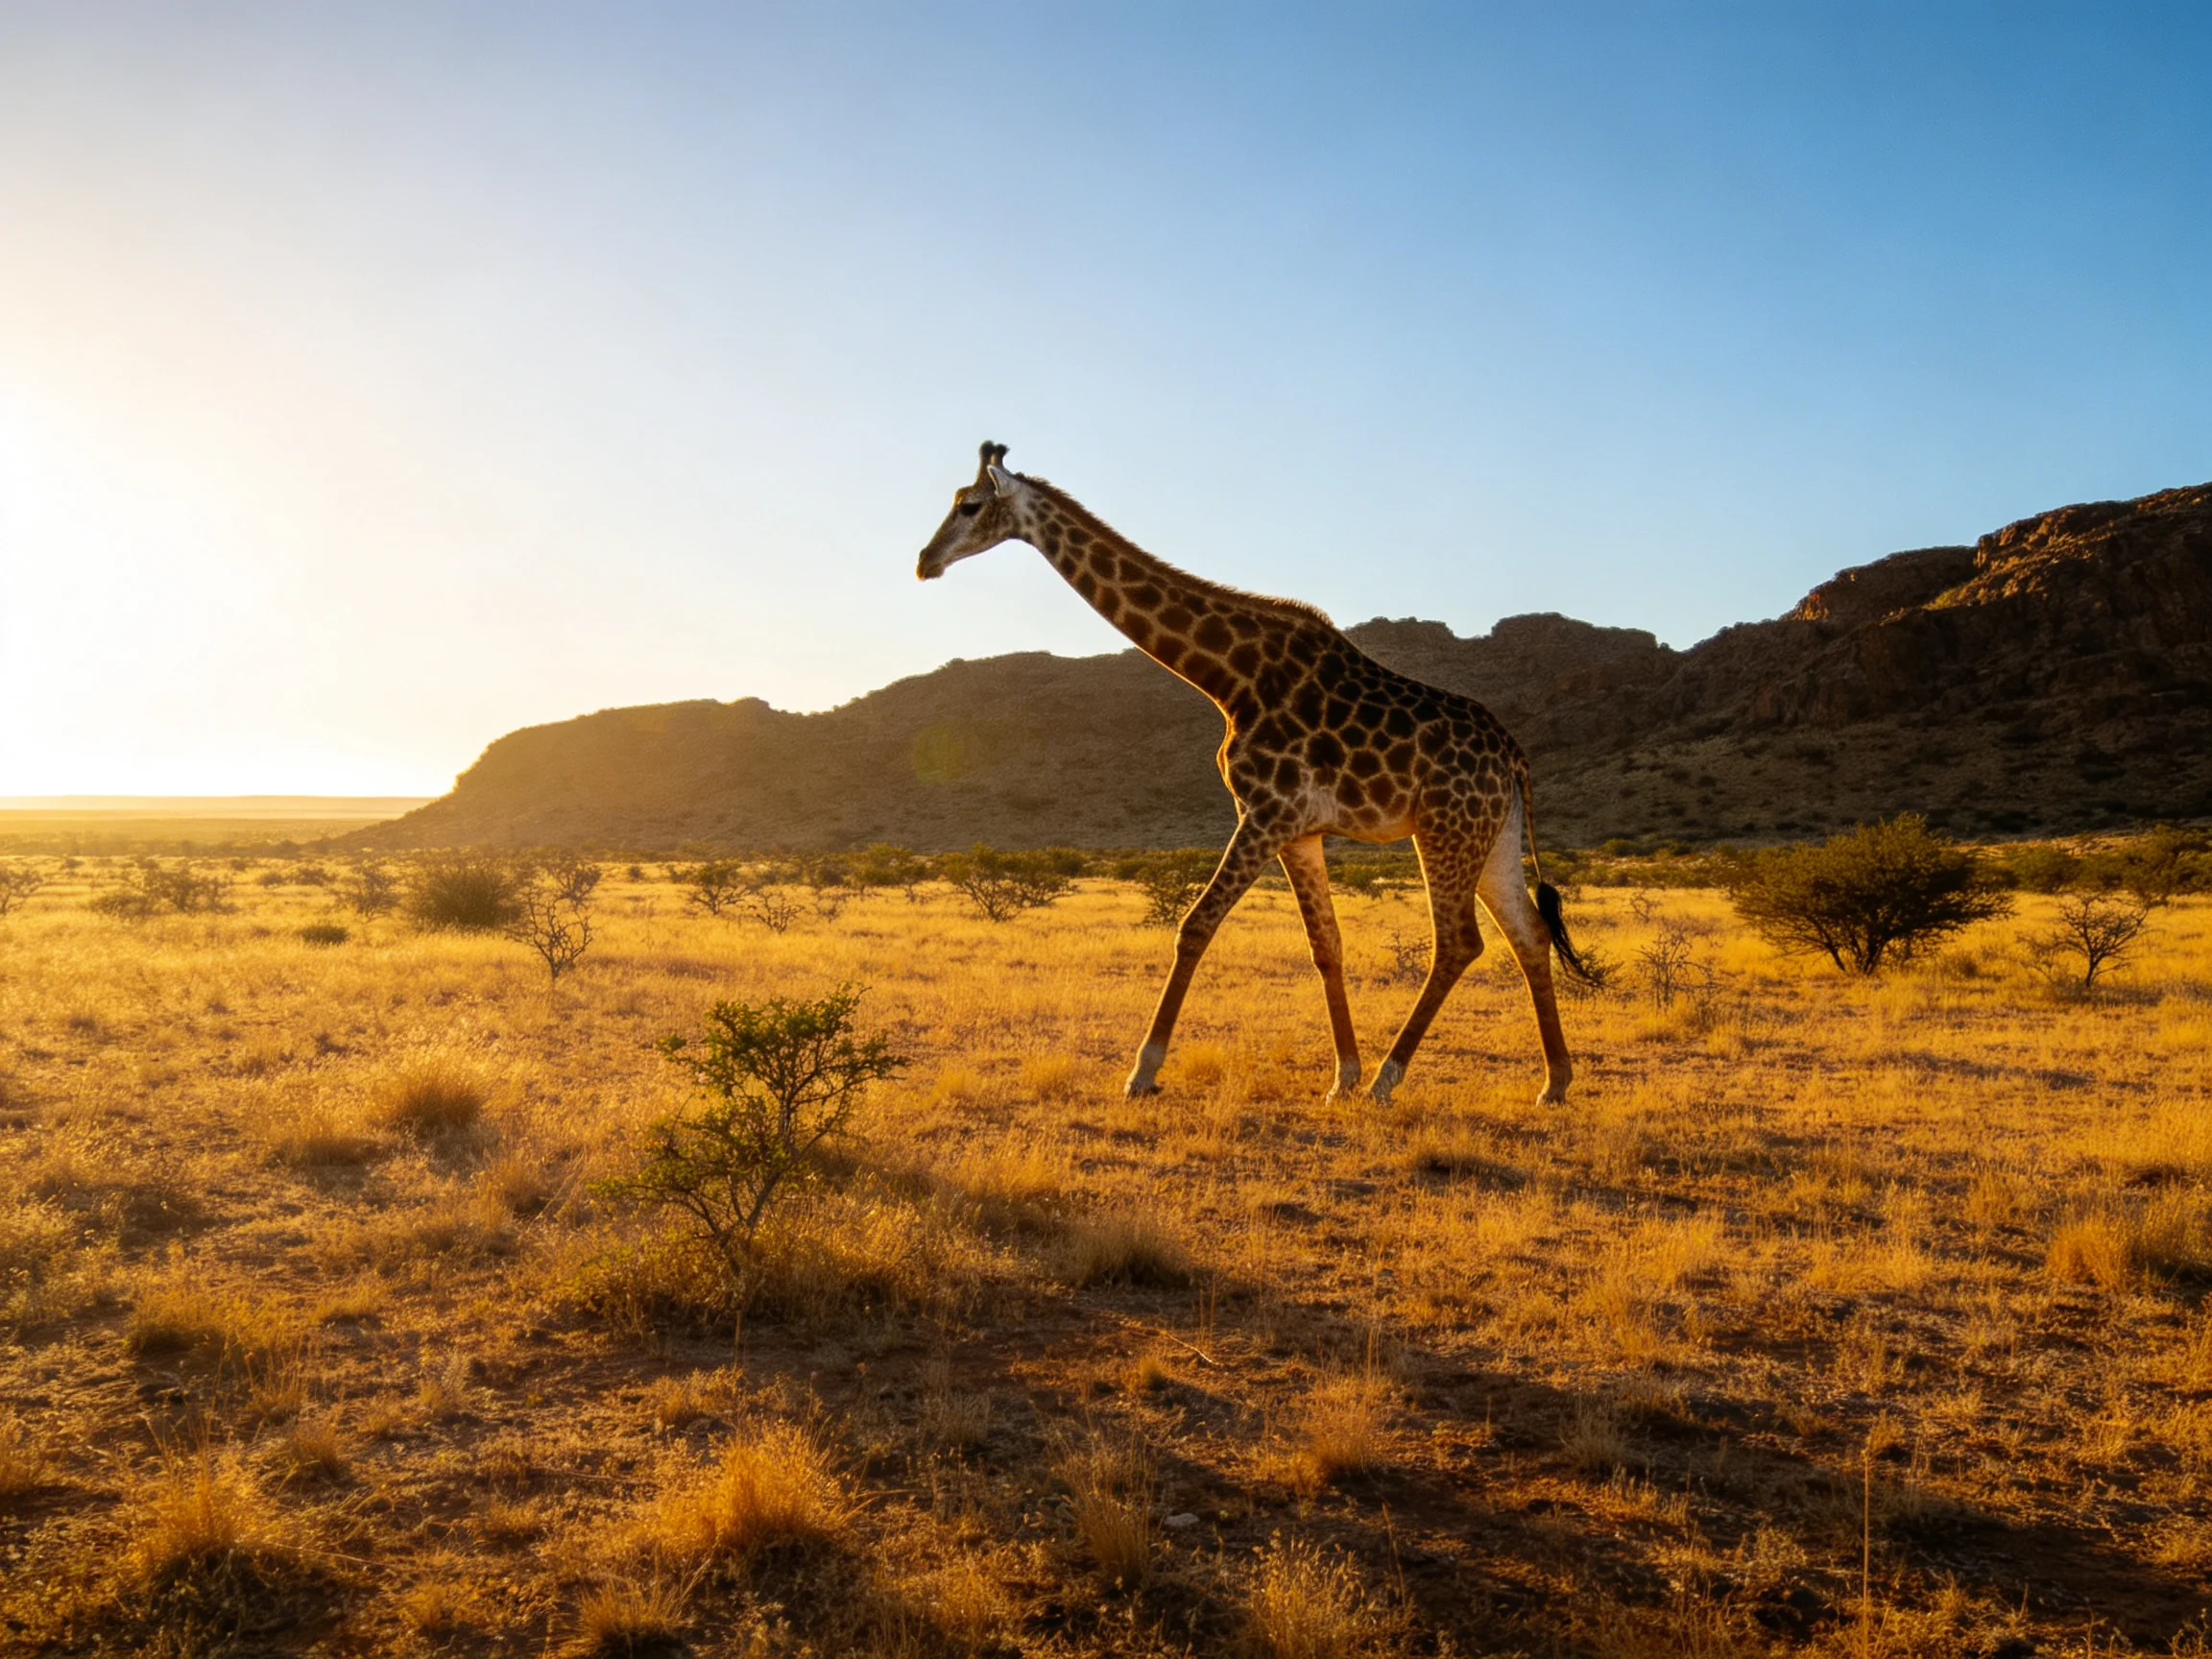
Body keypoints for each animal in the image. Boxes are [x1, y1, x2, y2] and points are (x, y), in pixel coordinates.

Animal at [915, 442, 1589, 1105]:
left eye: (970, 506)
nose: (925, 561)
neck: (1228, 677)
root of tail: (1513, 755)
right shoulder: (1298, 829)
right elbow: (1326, 946)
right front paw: (1341, 1075)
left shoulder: (1266, 811)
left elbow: (1195, 926)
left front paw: (1143, 1071)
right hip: (1490, 834)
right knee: (1528, 933)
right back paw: (1553, 1082)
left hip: (1445, 827)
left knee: (1459, 941)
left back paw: (1388, 1080)